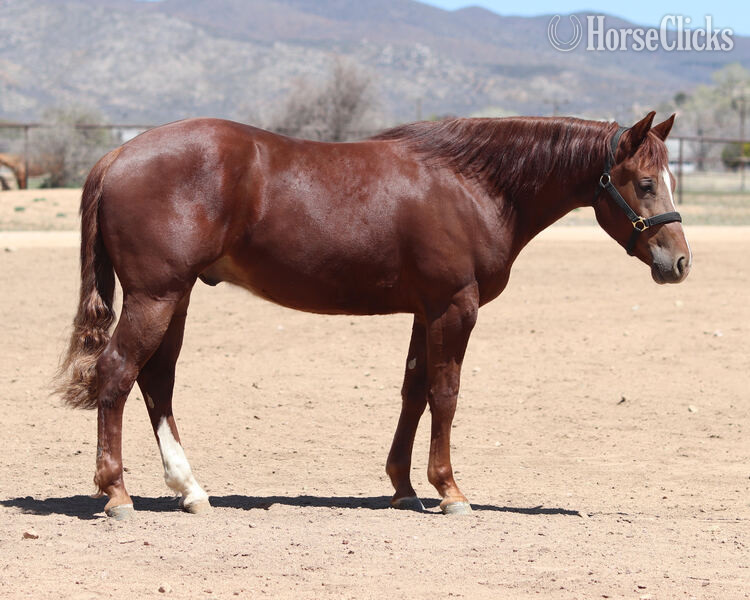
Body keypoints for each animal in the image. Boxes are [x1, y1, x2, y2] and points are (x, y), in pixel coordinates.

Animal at [56, 111, 690, 520]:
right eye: (645, 182)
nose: (678, 261)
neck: (471, 185)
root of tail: (119, 153)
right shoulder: (454, 308)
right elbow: (444, 394)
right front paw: (450, 491)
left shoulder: (425, 311)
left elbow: (413, 391)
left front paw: (404, 488)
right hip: (156, 296)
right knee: (118, 373)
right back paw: (117, 495)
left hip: (176, 297)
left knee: (156, 382)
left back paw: (191, 489)